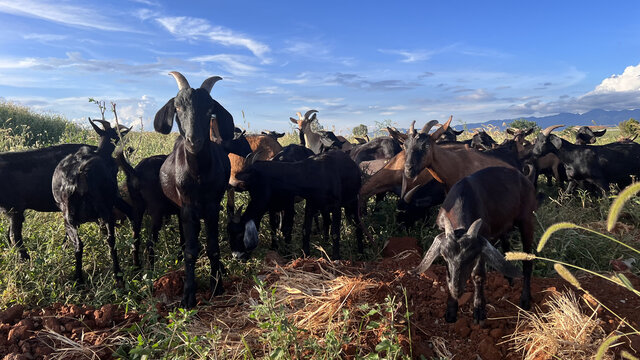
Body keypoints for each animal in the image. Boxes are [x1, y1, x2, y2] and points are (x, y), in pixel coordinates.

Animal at [51, 119, 131, 286]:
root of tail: (80, 173)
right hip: (105, 208)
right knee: (110, 239)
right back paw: (117, 275)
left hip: (70, 216)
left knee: (80, 244)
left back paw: (80, 280)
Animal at [416, 167, 536, 324]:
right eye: (444, 256)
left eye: (471, 257)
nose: (457, 290)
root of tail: (525, 178)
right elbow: (447, 275)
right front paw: (451, 311)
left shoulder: (483, 240)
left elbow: (478, 275)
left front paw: (479, 311)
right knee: (506, 244)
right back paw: (509, 279)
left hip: (527, 220)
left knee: (528, 261)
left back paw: (525, 300)